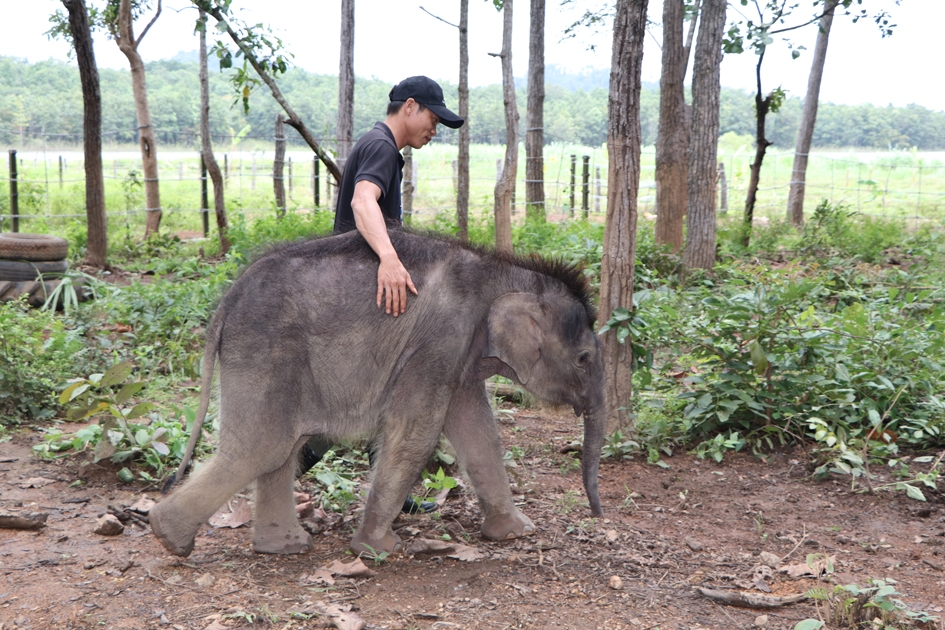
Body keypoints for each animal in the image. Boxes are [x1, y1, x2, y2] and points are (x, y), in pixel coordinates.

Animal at [148, 228, 604, 556]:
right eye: (584, 358)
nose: (597, 514)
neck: (502, 269)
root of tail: (226, 300)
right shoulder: (440, 340)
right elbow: (416, 428)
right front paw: (377, 549)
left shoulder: (461, 355)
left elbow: (478, 430)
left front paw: (514, 534)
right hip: (264, 352)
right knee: (261, 448)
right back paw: (169, 537)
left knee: (281, 448)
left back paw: (283, 548)